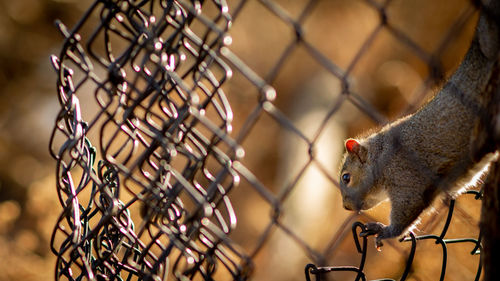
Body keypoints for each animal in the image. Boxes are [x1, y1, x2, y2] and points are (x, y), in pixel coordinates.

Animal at [338, 2, 500, 248]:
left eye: (346, 178)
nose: (346, 206)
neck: (382, 156)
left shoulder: (406, 174)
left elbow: (408, 207)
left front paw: (385, 230)